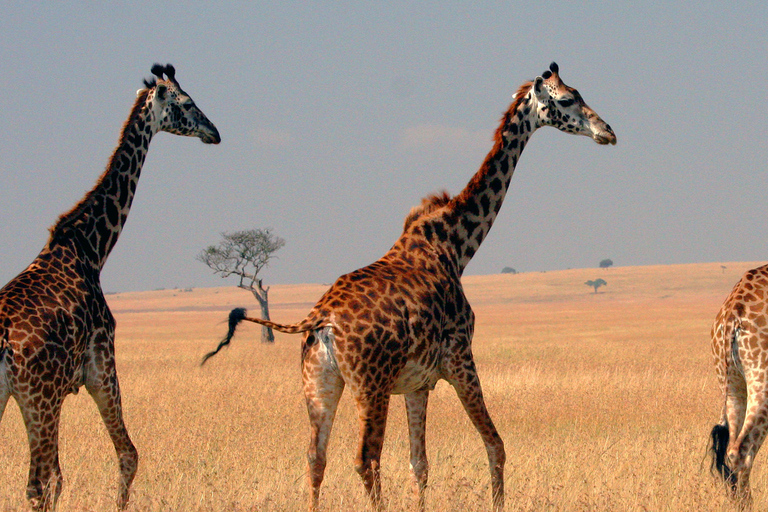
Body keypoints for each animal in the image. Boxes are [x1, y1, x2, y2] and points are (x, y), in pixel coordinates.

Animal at [0, 65, 219, 512]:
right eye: (188, 103)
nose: (215, 133)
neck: (91, 247)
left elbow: (68, 475)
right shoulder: (101, 362)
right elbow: (127, 455)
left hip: (19, 399)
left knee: (41, 481)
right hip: (37, 399)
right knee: (37, 484)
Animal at [201, 61, 616, 512]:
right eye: (567, 100)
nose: (607, 132)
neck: (455, 245)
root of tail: (319, 320)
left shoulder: (418, 382)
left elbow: (420, 463)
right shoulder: (459, 358)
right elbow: (496, 445)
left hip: (319, 383)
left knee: (316, 456)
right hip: (371, 385)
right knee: (366, 459)